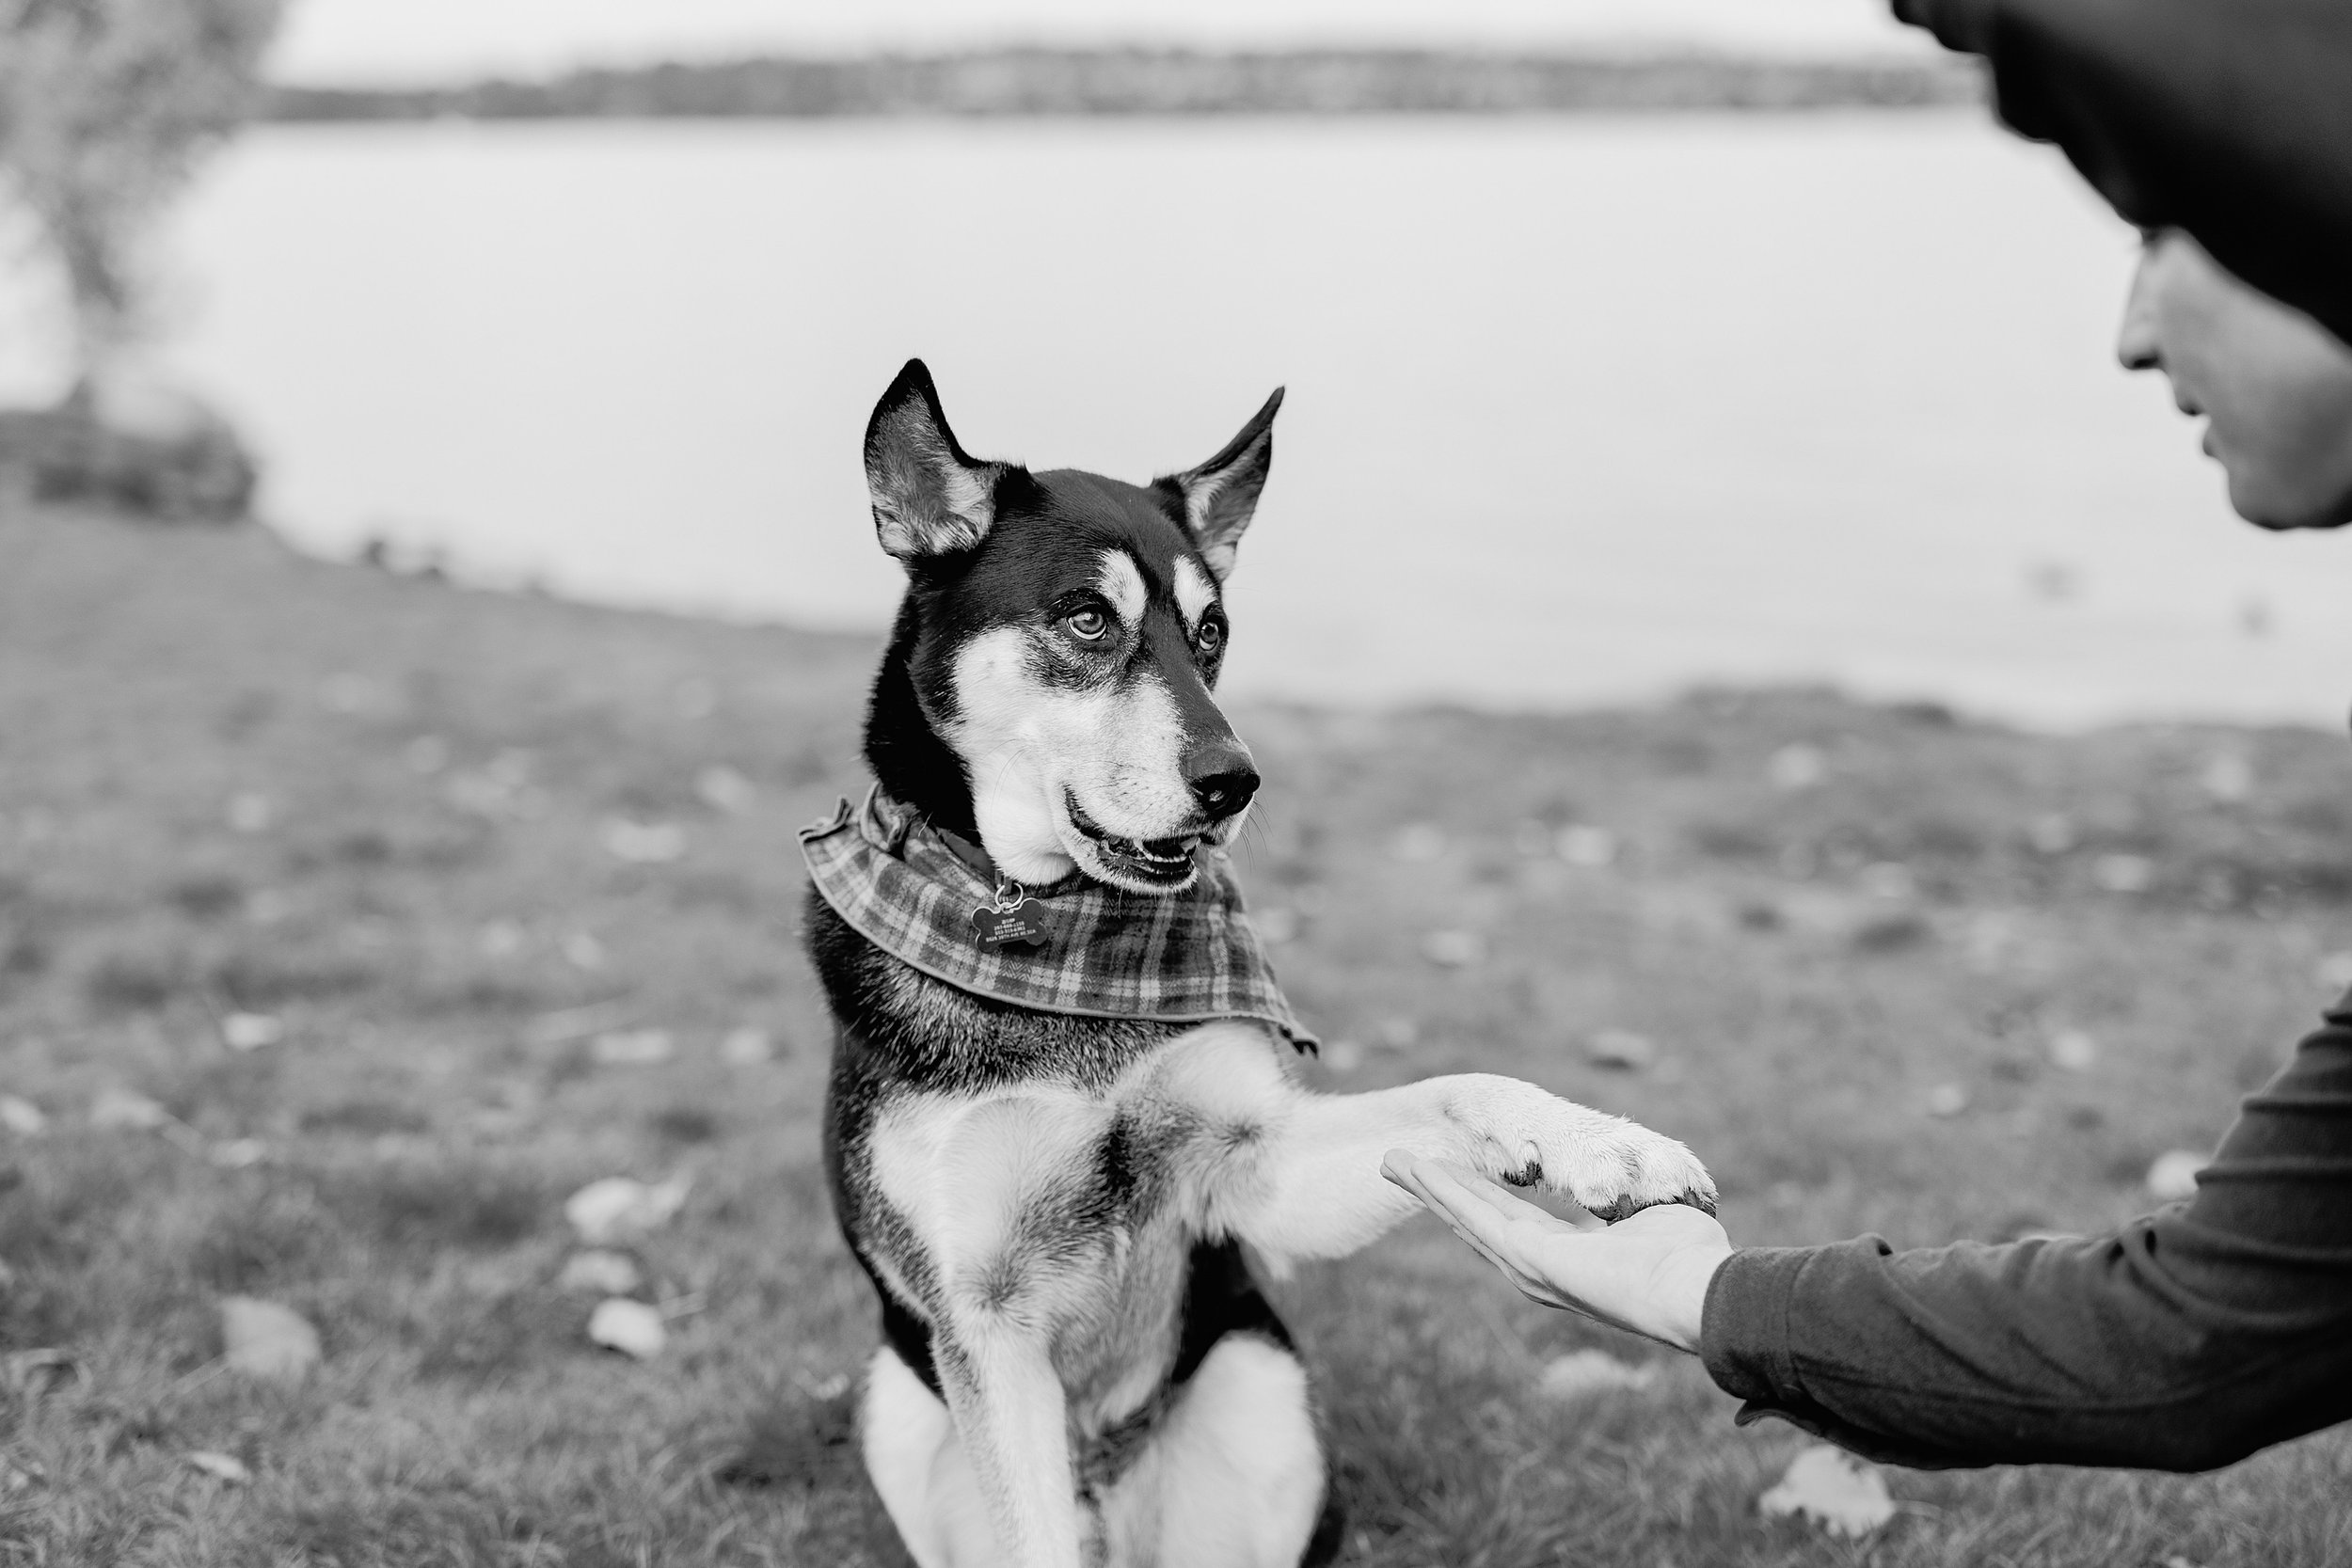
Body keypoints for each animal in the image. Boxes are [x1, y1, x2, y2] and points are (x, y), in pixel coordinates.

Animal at [804, 359, 1712, 1568]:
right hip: (897, 1402)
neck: (1064, 947)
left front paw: (1598, 1139)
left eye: (1210, 630)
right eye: (1087, 619)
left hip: (1260, 1380)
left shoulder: (1251, 1165)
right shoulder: (980, 1317)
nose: (1234, 780)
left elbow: (1458, 1086)